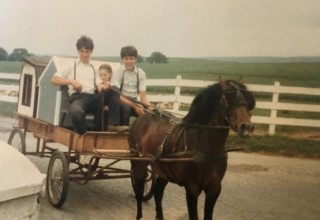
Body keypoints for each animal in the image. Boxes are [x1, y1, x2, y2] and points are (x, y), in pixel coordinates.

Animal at [129, 80, 256, 219]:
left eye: (247, 99)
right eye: (228, 97)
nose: (246, 127)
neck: (206, 148)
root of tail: (143, 116)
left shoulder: (215, 188)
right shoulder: (192, 189)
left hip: (164, 170)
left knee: (157, 192)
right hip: (138, 165)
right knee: (139, 191)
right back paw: (139, 215)